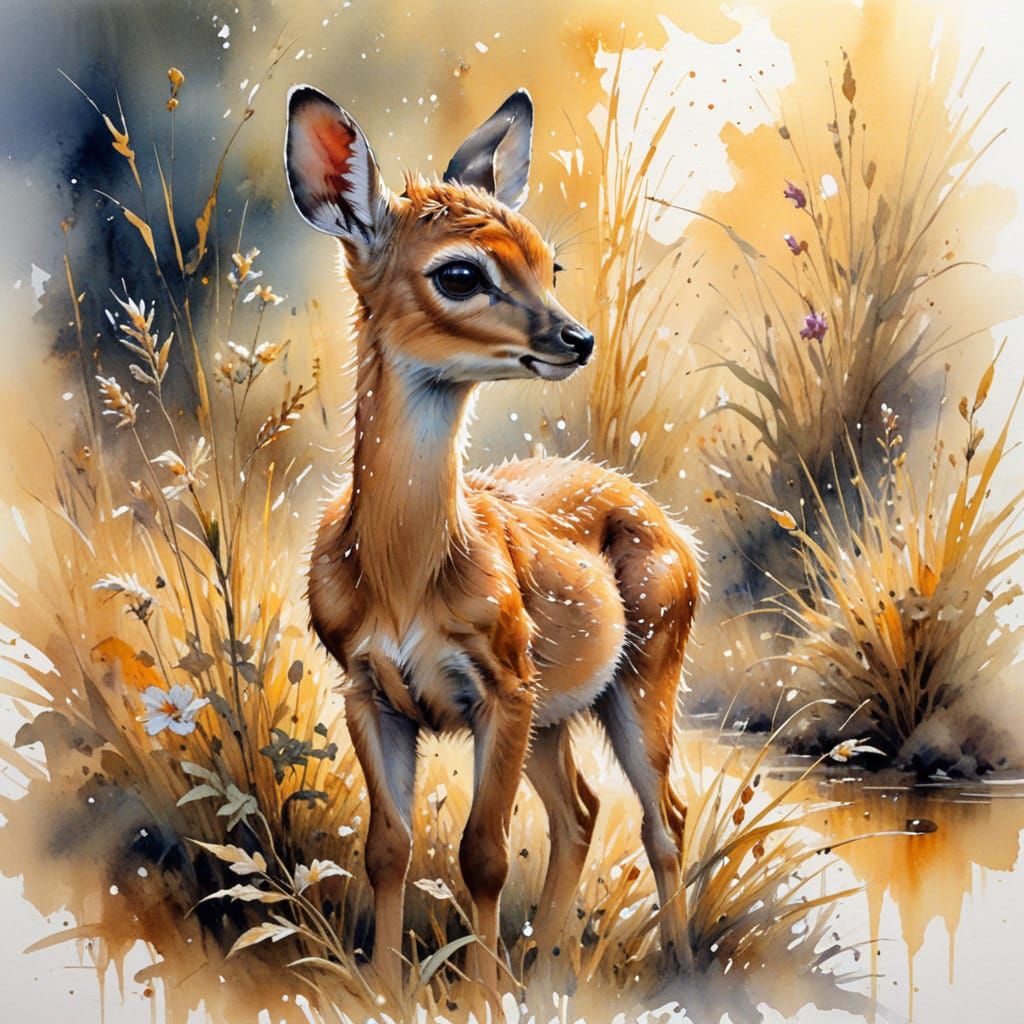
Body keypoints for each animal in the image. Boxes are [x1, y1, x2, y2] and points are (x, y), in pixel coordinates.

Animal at [285, 84, 701, 996]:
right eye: (460, 273)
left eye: (549, 263)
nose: (575, 338)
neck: (406, 577)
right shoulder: (366, 687)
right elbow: (389, 848)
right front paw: (386, 989)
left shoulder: (502, 682)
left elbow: (483, 855)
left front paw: (474, 995)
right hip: (557, 713)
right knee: (581, 811)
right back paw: (545, 969)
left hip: (644, 671)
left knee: (663, 815)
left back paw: (682, 969)